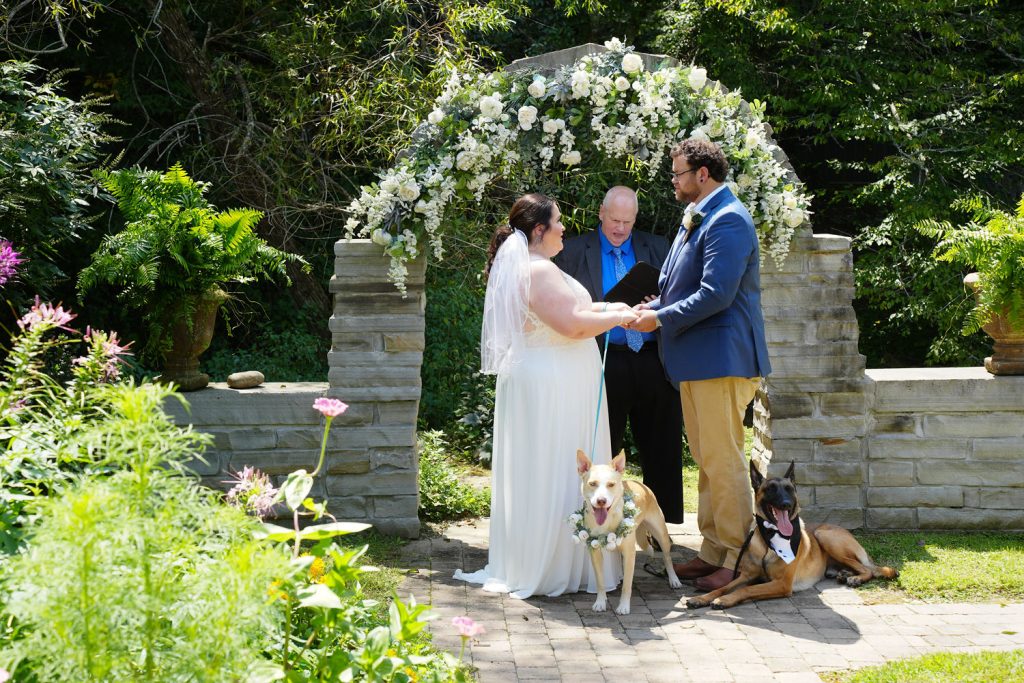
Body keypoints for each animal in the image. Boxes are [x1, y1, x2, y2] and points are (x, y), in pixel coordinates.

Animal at [577, 448, 679, 614]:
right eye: (592, 484)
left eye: (611, 484)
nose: (601, 501)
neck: (608, 518)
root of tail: (639, 483)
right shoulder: (594, 550)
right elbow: (600, 581)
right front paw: (600, 602)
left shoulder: (630, 553)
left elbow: (626, 586)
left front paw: (624, 606)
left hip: (661, 534)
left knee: (667, 557)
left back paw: (674, 579)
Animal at [688, 462, 897, 610]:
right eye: (770, 489)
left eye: (789, 489)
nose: (786, 504)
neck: (770, 537)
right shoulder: (747, 575)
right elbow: (722, 586)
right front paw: (700, 598)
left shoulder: (781, 584)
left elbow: (748, 589)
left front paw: (724, 600)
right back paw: (845, 574)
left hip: (824, 536)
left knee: (868, 569)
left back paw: (856, 578)